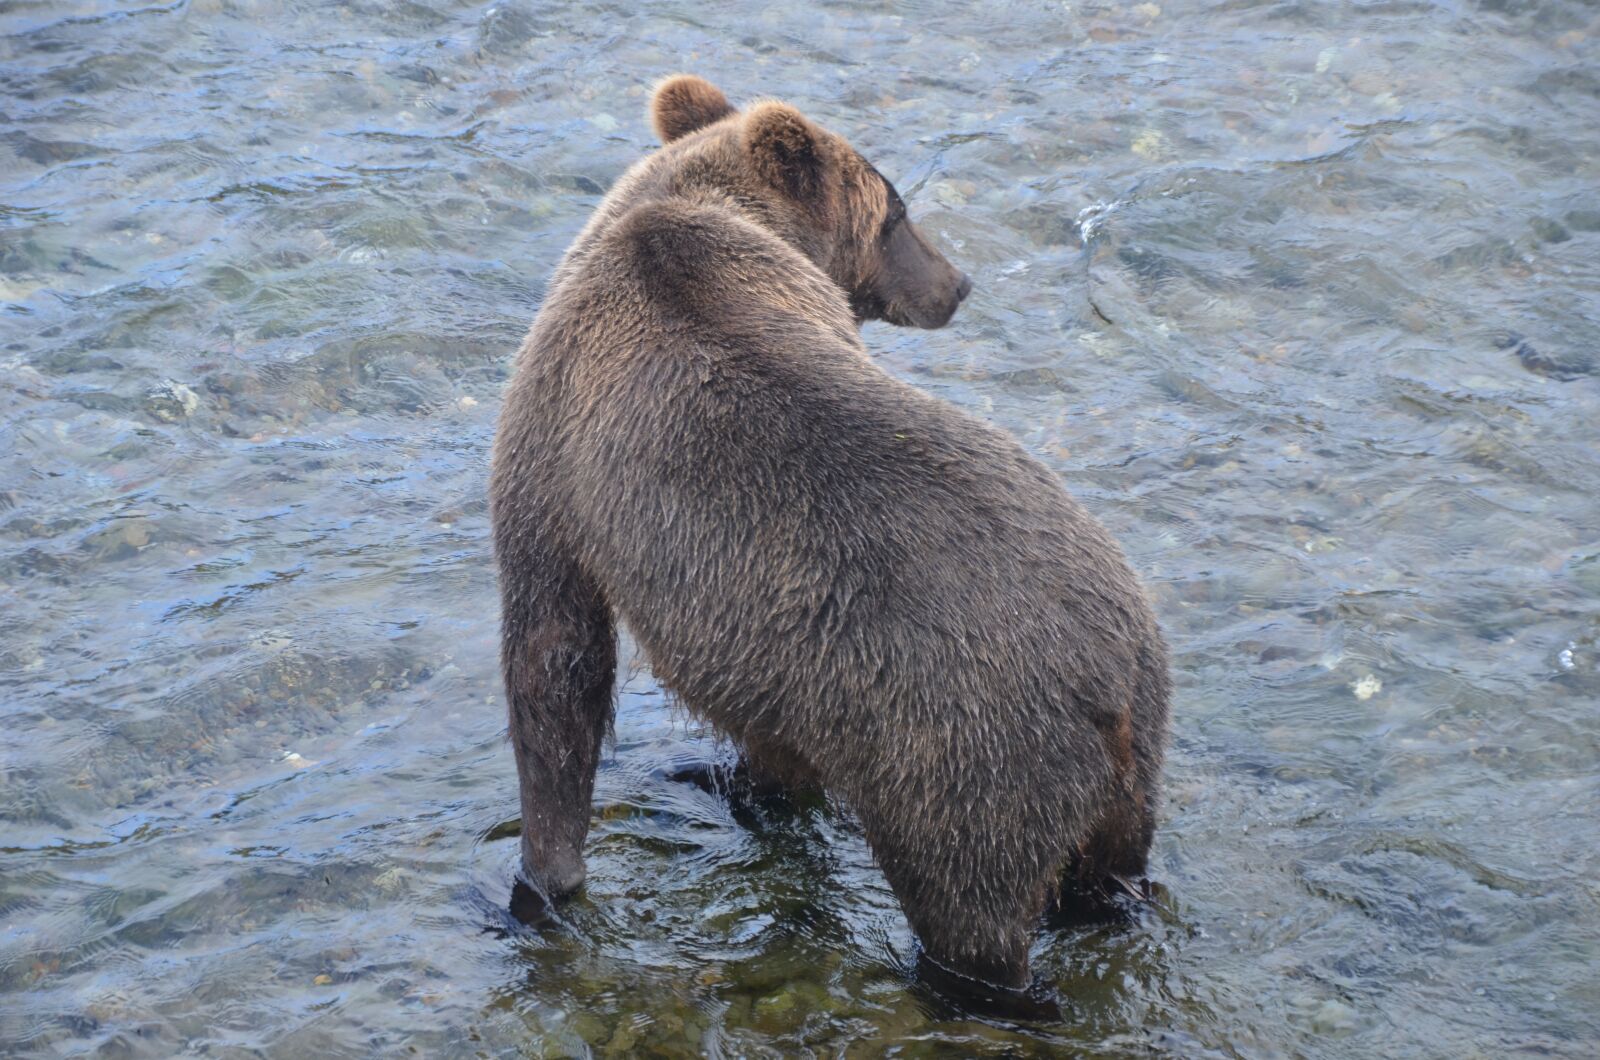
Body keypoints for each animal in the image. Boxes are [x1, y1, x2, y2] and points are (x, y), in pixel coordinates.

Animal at [489, 75, 1170, 998]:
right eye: (897, 211)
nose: (958, 284)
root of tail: (1110, 686)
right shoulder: (782, 655)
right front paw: (740, 786)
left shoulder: (554, 440)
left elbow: (554, 657)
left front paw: (541, 881)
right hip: (1132, 744)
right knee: (1110, 874)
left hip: (966, 760)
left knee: (973, 916)